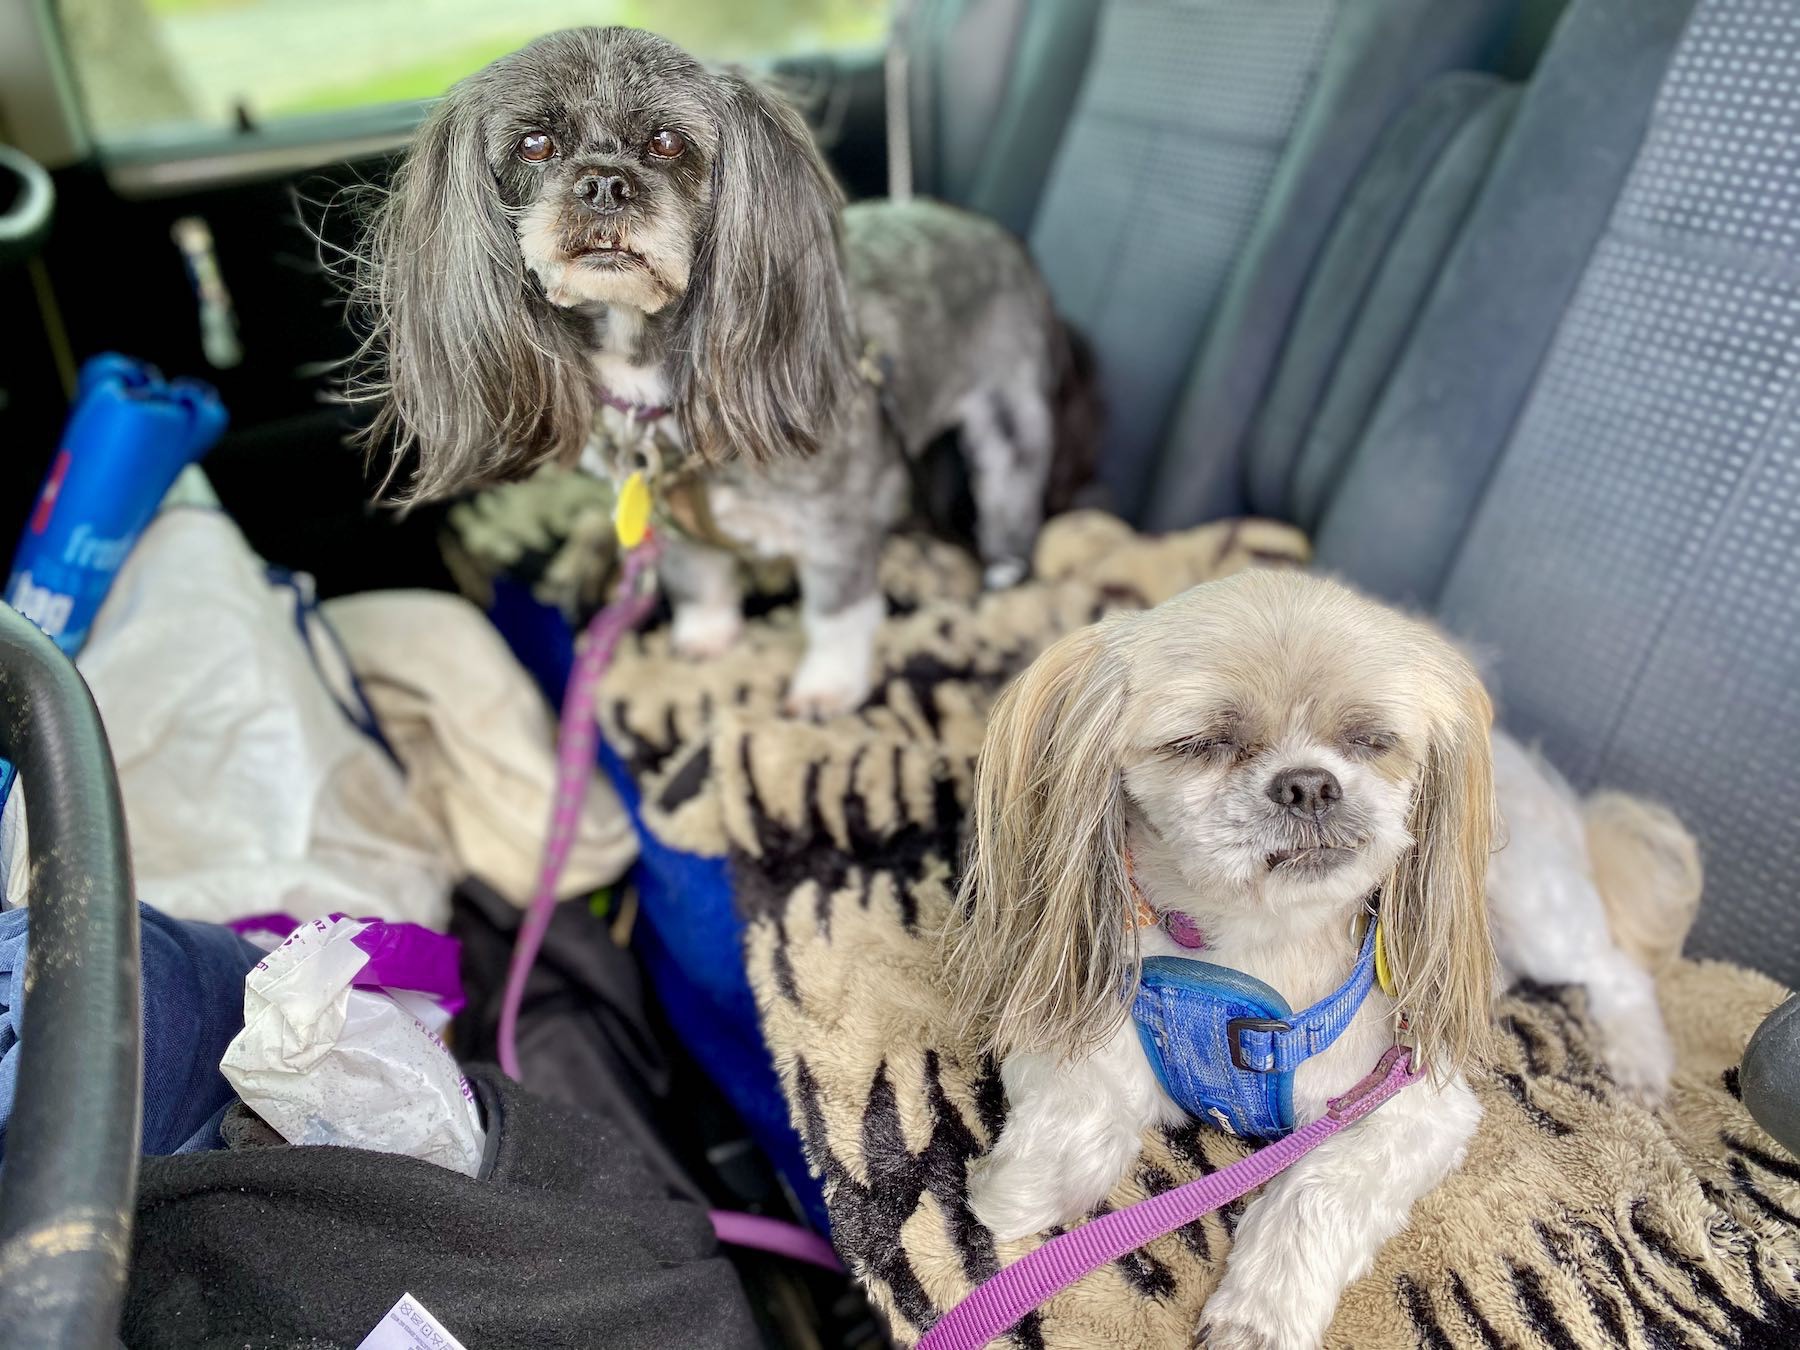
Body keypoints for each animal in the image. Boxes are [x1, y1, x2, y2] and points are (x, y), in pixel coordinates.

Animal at [349, 26, 1080, 712]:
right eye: (534, 144)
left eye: (669, 142)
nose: (604, 184)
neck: (651, 373)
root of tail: (993, 234)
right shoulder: (665, 517)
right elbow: (699, 581)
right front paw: (705, 638)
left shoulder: (835, 518)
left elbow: (837, 610)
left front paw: (828, 685)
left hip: (1010, 431)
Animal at [950, 568, 1692, 1350]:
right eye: (1204, 742)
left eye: (1370, 740)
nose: (1309, 782)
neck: (1263, 944)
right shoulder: (1090, 1010)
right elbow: (1082, 1103)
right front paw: (1018, 1189)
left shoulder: (1411, 1104)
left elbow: (1319, 1189)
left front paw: (1260, 1314)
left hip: (1532, 904)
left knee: (1614, 966)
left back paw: (1639, 1057)